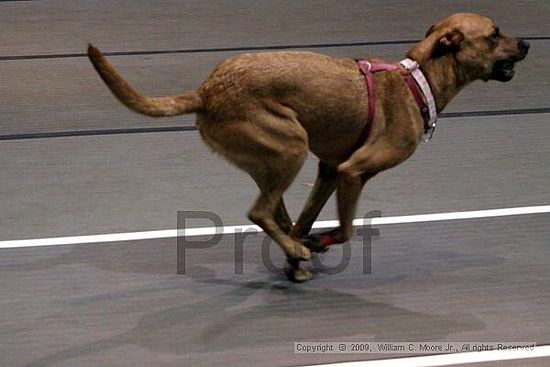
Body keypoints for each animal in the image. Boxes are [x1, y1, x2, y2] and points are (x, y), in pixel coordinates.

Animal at [89, 11, 532, 282]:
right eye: (494, 34)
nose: (527, 43)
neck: (418, 80)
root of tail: (208, 90)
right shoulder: (353, 171)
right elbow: (347, 229)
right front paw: (316, 244)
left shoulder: (330, 170)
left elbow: (307, 218)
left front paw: (301, 248)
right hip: (291, 149)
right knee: (260, 211)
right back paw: (299, 252)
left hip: (274, 161)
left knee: (277, 213)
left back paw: (294, 252)